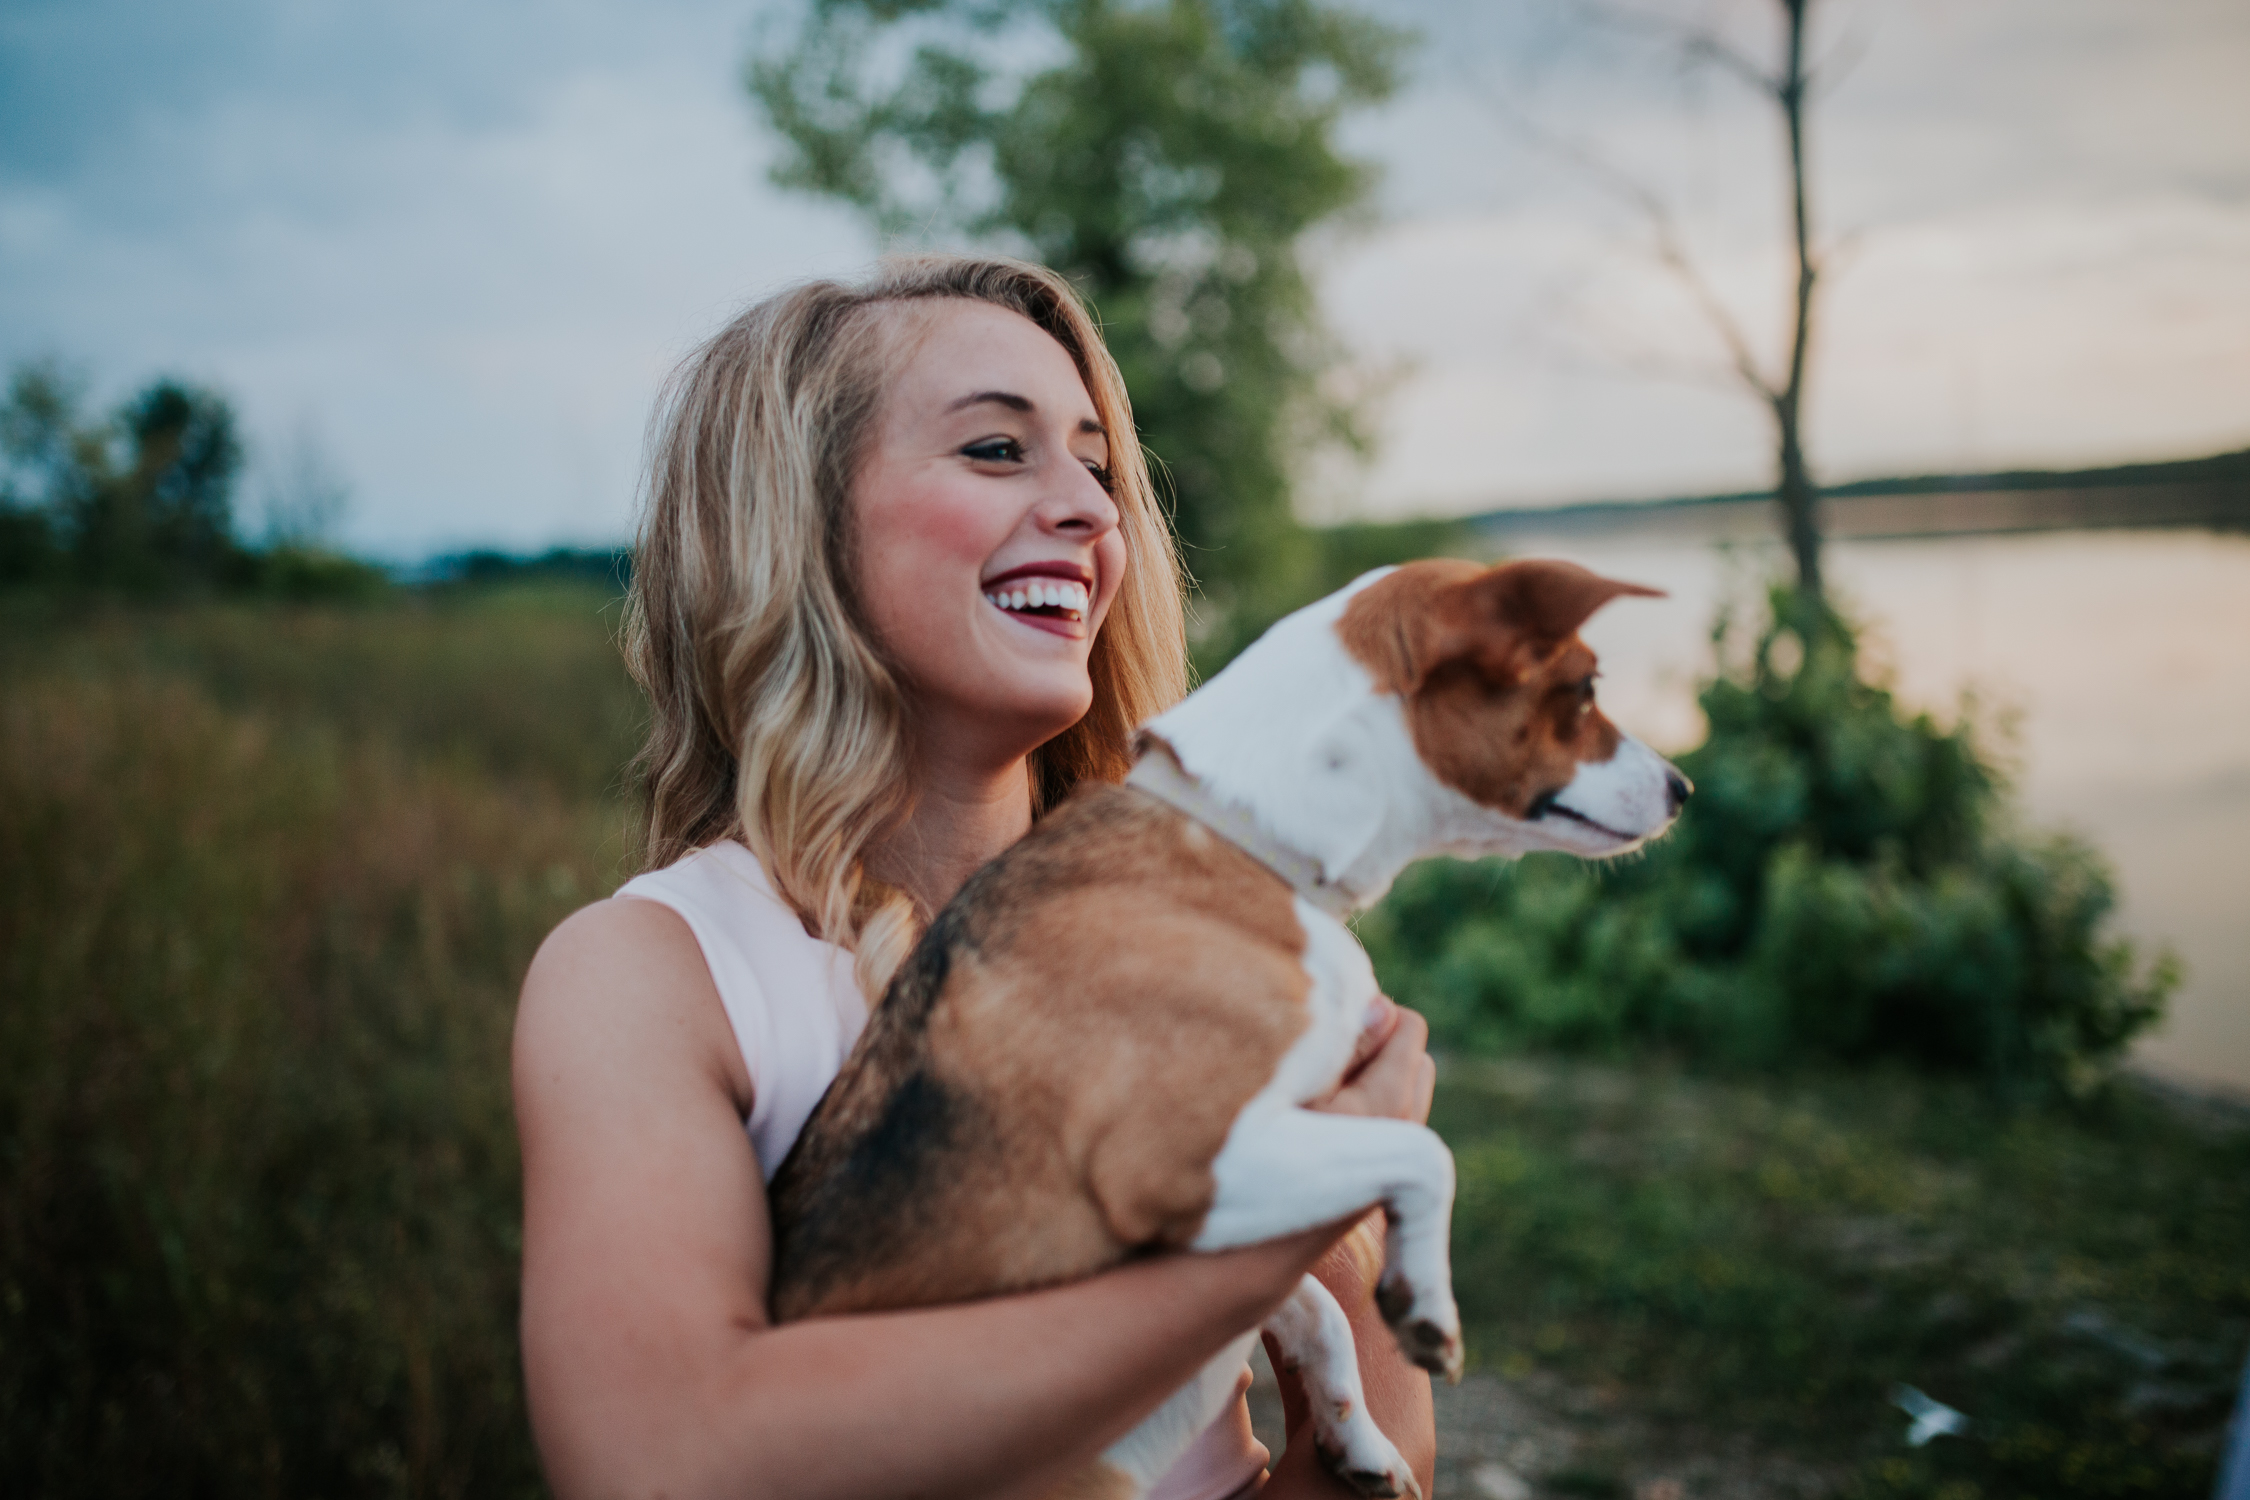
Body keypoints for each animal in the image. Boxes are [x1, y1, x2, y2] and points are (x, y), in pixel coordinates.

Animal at [765, 559, 1683, 1500]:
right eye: (1586, 688)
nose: (1683, 789)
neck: (1241, 836)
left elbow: (1319, 1309)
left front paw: (1358, 1440)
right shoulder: (1188, 1165)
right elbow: (1426, 1155)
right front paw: (1427, 1302)